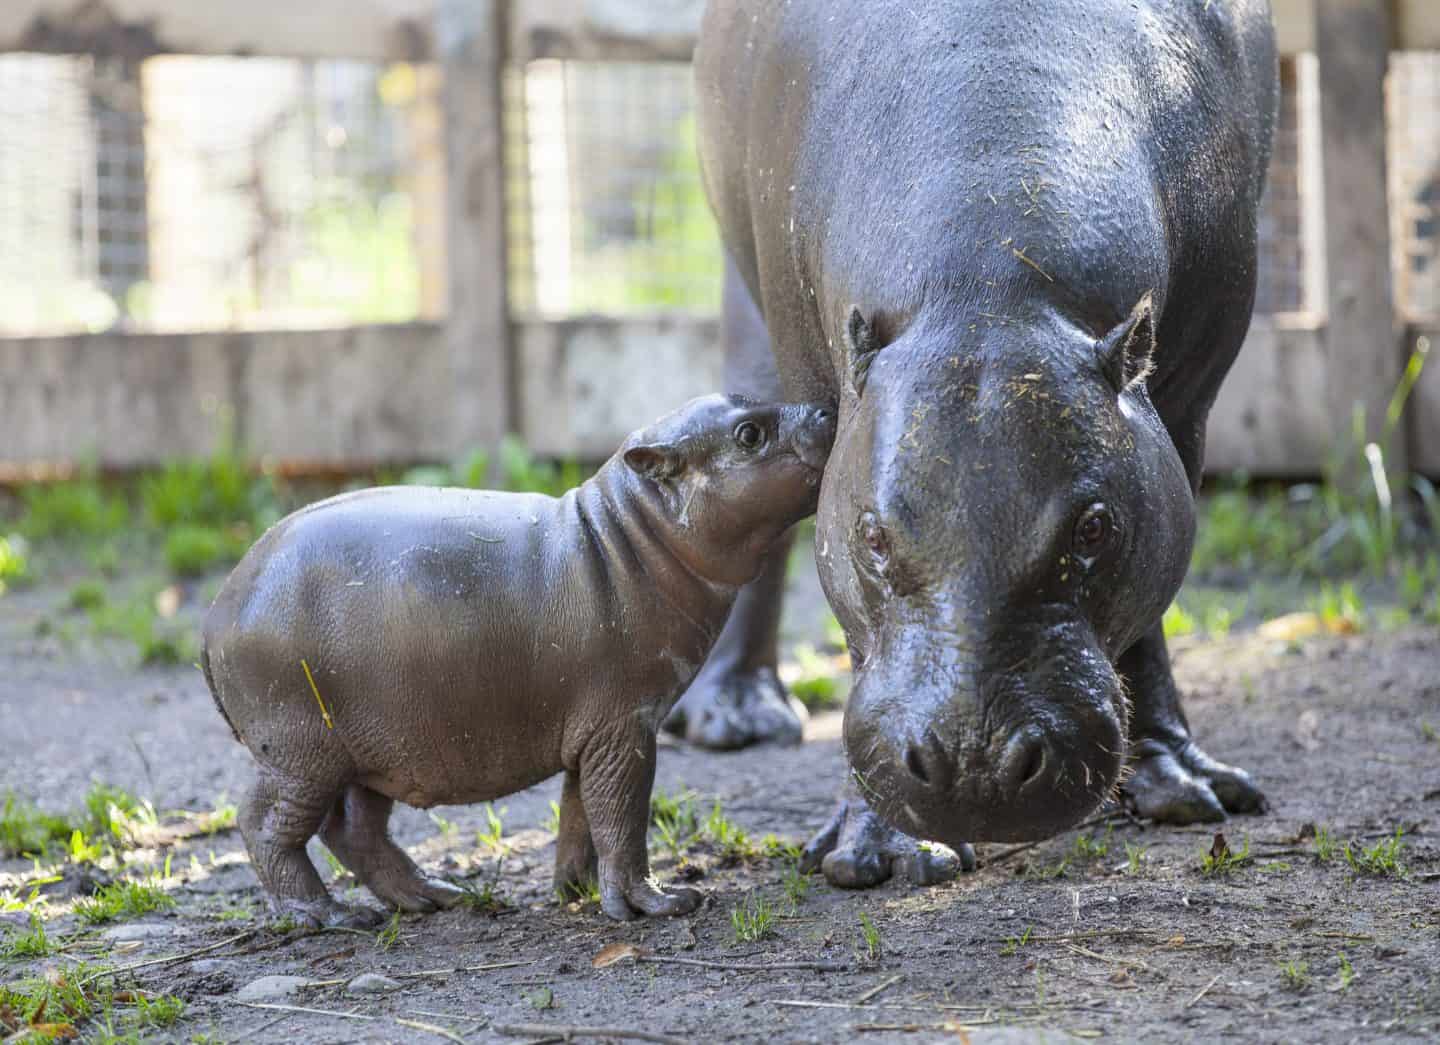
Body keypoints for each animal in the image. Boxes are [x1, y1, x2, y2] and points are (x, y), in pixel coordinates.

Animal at [201, 394, 835, 926]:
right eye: (749, 433)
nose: (827, 410)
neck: (630, 533)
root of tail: (216, 611)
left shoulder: (595, 731)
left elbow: (581, 813)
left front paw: (577, 892)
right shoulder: (625, 723)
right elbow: (622, 814)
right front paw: (659, 902)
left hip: (372, 747)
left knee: (355, 830)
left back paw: (433, 896)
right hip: (300, 751)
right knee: (264, 825)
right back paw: (328, 916)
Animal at [679, 0, 1278, 886]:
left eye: (1095, 528)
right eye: (870, 536)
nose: (976, 763)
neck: (989, 281)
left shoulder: (1188, 393)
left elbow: (1150, 605)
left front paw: (1185, 788)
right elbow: (854, 628)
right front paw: (881, 852)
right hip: (746, 297)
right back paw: (734, 717)